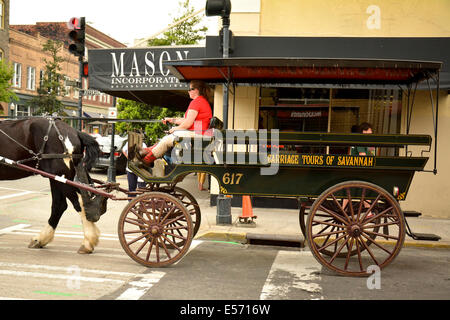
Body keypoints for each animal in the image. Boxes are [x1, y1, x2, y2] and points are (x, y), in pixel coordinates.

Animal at [0, 119, 107, 254]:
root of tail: (75, 132)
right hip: (57, 178)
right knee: (59, 205)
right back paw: (41, 239)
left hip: (62, 178)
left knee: (80, 202)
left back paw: (88, 242)